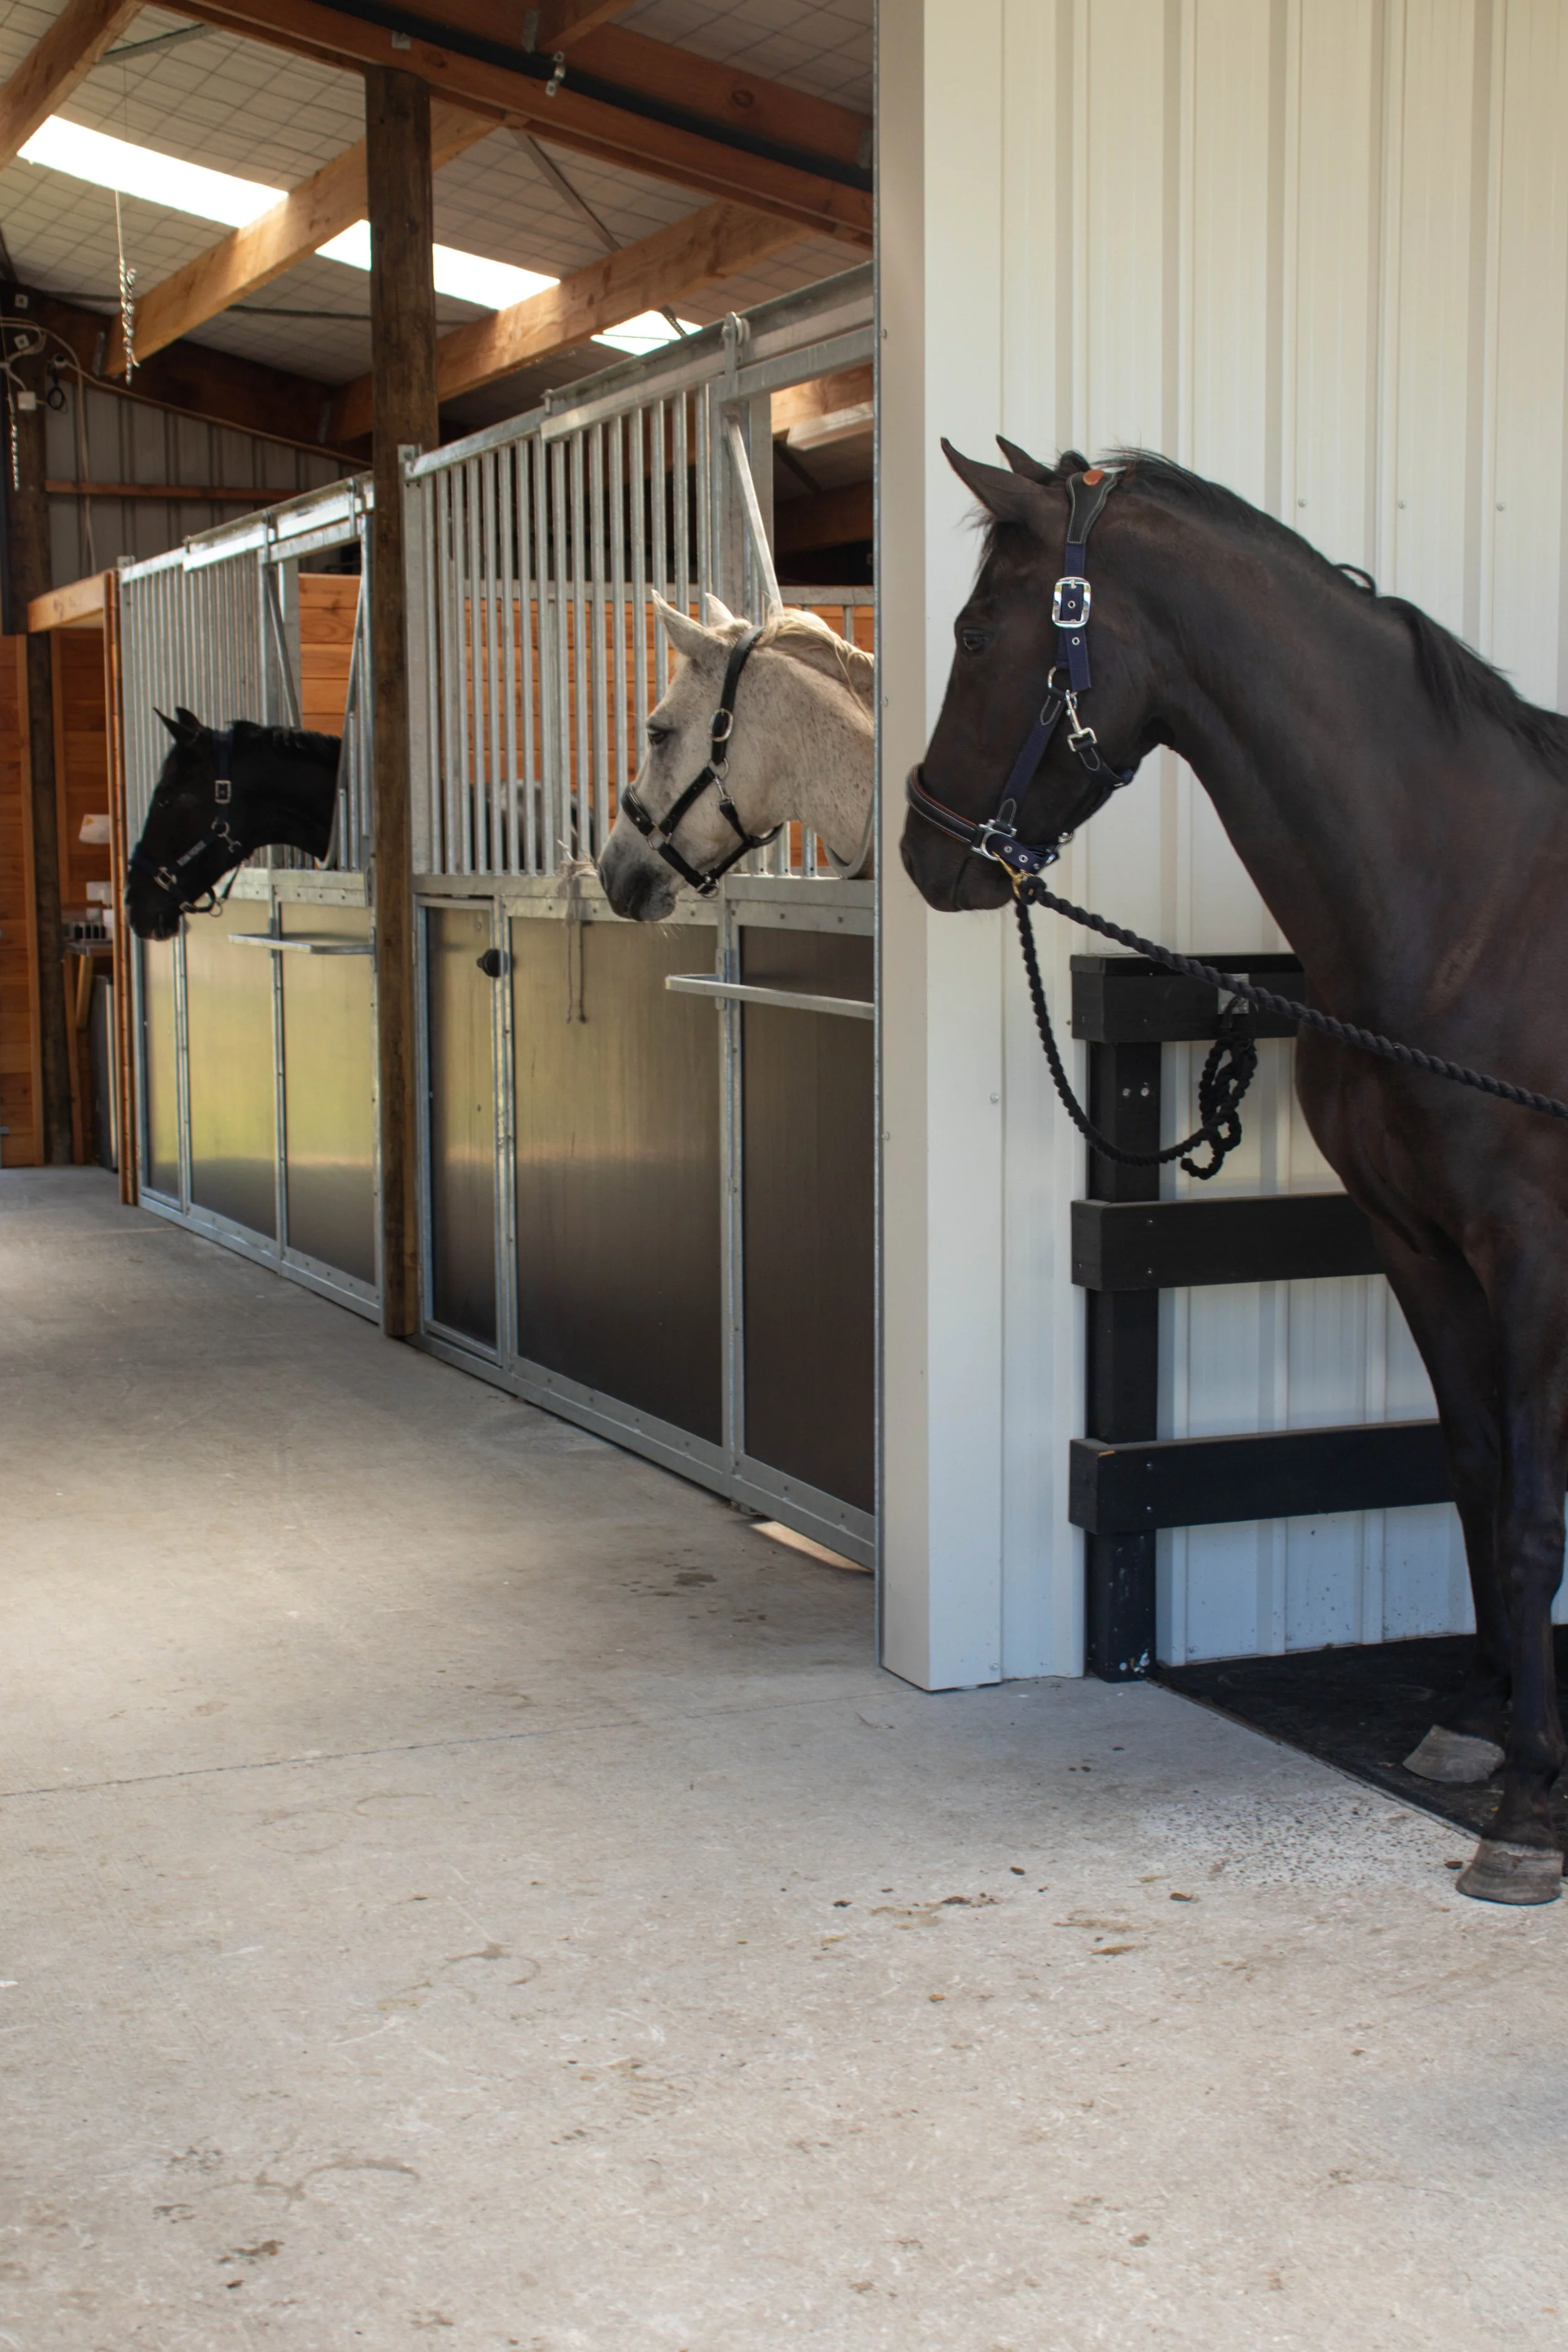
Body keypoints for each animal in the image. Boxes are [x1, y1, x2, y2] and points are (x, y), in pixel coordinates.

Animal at [902, 439, 1568, 1907]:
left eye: (978, 632)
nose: (923, 852)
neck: (1476, 914)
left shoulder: (1533, 1255)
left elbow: (1533, 1513)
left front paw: (1531, 1809)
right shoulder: (1417, 1242)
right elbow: (1475, 1473)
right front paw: (1481, 1721)